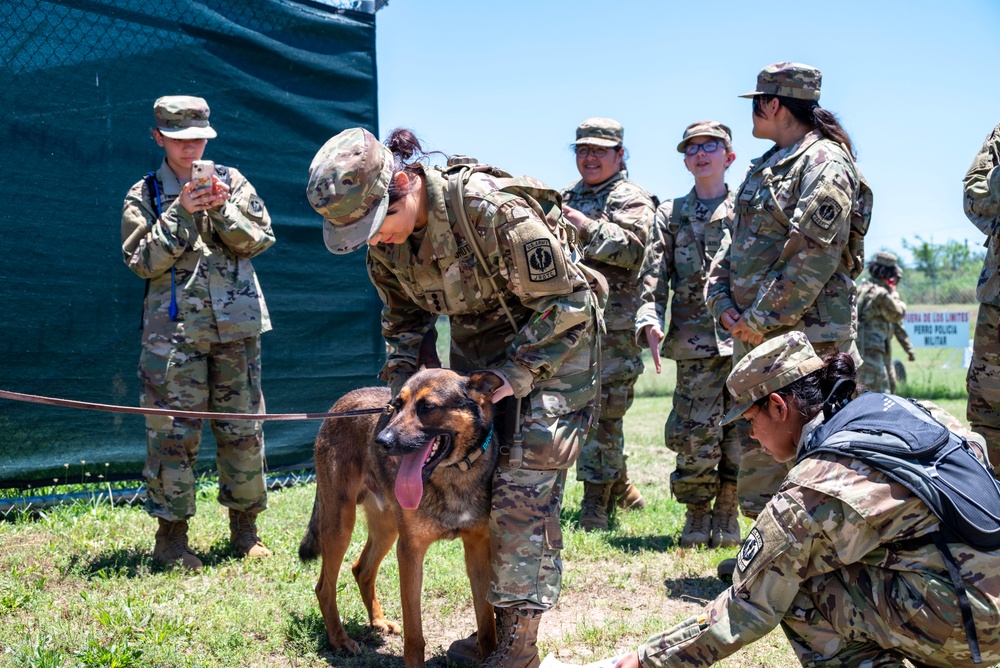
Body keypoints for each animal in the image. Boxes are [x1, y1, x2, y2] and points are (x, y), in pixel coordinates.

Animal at [296, 344, 500, 668]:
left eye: (428, 406)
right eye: (396, 405)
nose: (381, 441)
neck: (452, 475)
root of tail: (341, 402)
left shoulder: (478, 549)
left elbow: (486, 622)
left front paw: (490, 654)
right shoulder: (410, 551)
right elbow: (415, 633)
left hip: (387, 527)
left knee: (361, 569)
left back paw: (377, 622)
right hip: (339, 524)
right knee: (324, 586)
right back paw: (340, 640)